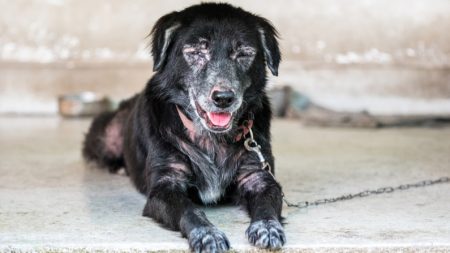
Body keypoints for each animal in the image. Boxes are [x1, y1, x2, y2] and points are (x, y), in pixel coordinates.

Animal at [82, 2, 284, 252]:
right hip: (106, 134)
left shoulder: (257, 176)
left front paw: (268, 227)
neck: (210, 139)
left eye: (244, 54)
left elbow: (267, 204)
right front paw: (207, 234)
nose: (223, 98)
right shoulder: (165, 185)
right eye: (196, 53)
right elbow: (190, 210)